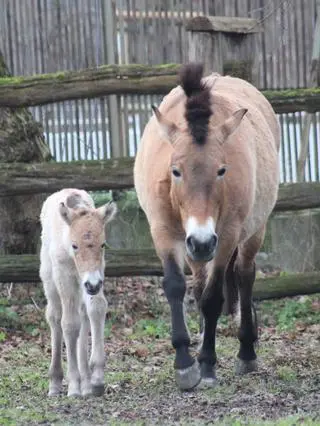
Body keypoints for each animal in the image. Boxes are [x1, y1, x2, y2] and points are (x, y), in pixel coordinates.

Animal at [39, 189, 116, 396]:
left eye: (103, 244)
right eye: (75, 245)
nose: (93, 285)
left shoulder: (95, 276)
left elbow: (96, 309)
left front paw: (96, 379)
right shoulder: (65, 277)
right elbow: (69, 324)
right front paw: (73, 385)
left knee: (83, 315)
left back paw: (86, 382)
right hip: (50, 279)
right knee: (55, 316)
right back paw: (56, 382)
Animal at [134, 63, 278, 390]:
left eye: (221, 170)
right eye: (176, 171)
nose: (201, 241)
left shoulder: (225, 237)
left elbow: (214, 298)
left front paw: (208, 364)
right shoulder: (163, 232)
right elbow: (176, 287)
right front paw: (185, 363)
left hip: (252, 233)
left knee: (244, 275)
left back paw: (246, 352)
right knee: (199, 284)